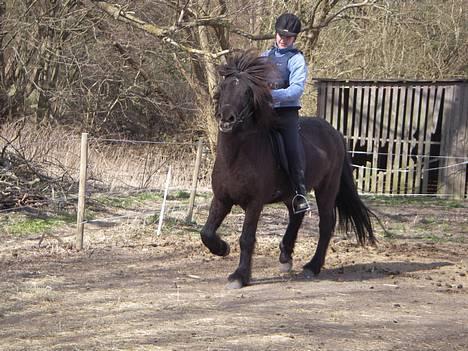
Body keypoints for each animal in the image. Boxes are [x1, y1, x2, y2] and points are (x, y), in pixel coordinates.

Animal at [199, 50, 374, 292]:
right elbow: (206, 232)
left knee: (325, 224)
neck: (236, 156)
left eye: (247, 92)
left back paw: (312, 266)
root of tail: (335, 132)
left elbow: (246, 238)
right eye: (224, 87)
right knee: (296, 214)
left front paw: (240, 276)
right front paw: (222, 248)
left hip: (327, 188)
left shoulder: (255, 203)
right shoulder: (222, 198)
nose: (227, 119)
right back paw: (285, 257)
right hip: (292, 193)